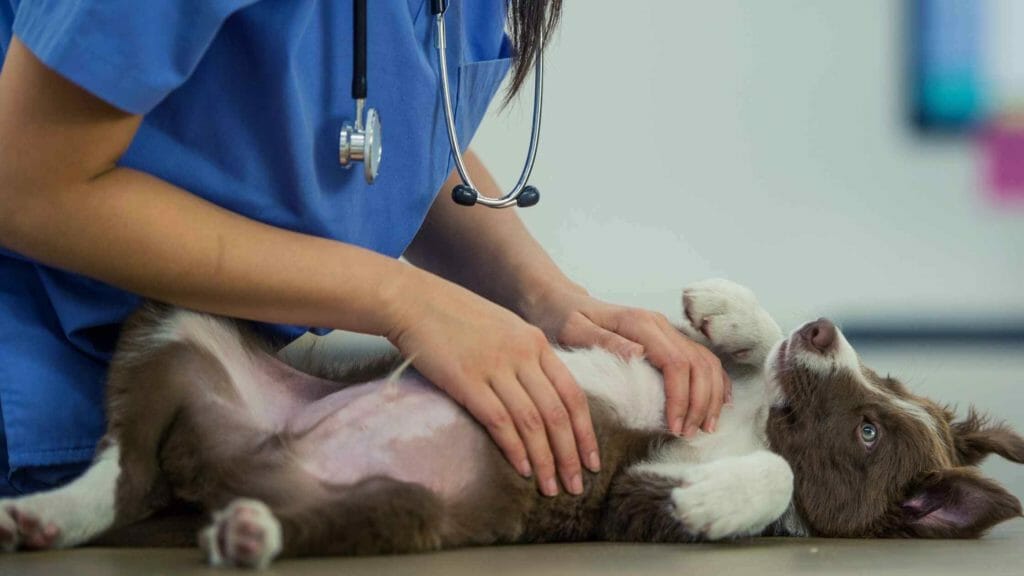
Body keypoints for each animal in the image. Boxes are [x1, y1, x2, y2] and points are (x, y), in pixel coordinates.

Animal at [2, 278, 1024, 565]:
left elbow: (770, 478)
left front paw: (716, 503)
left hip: (396, 510)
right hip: (184, 322)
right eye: (881, 382)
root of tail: (221, 472)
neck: (750, 421)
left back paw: (246, 535)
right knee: (122, 466)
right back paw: (44, 513)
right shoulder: (694, 381)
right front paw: (726, 307)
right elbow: (726, 348)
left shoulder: (626, 501)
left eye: (868, 434)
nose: (826, 327)